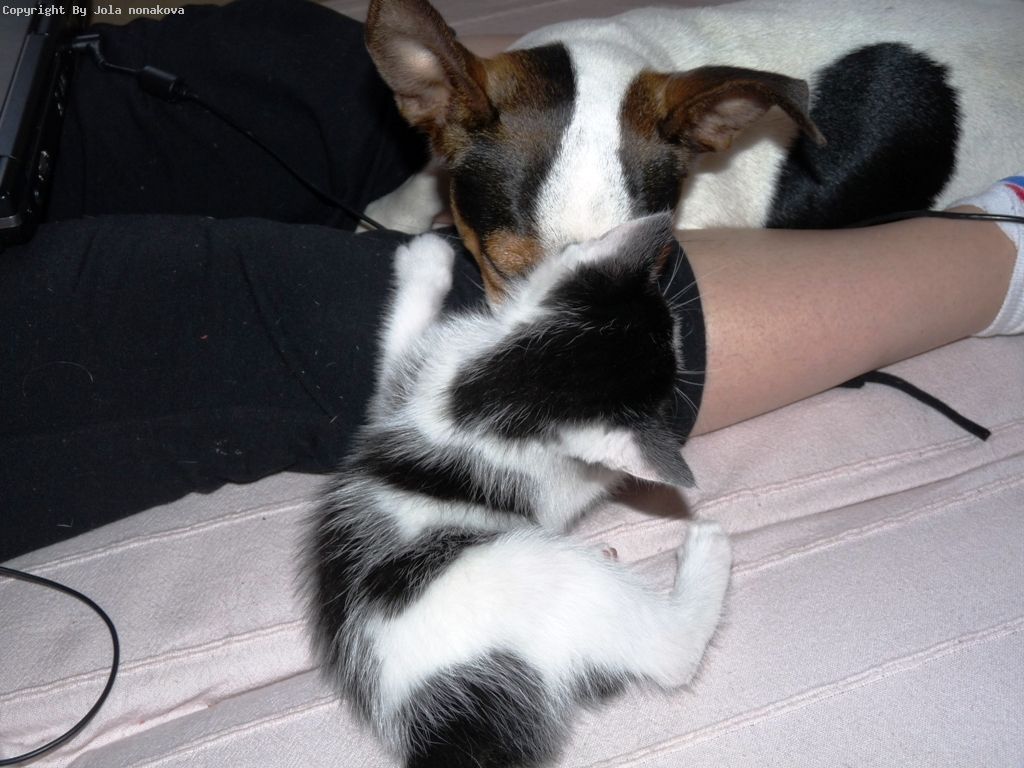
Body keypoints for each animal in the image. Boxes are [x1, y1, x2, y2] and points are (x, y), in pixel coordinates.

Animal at [304, 212, 732, 768]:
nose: (682, 341)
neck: (498, 393)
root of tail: (440, 715)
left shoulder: (412, 386)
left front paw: (426, 263)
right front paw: (428, 259)